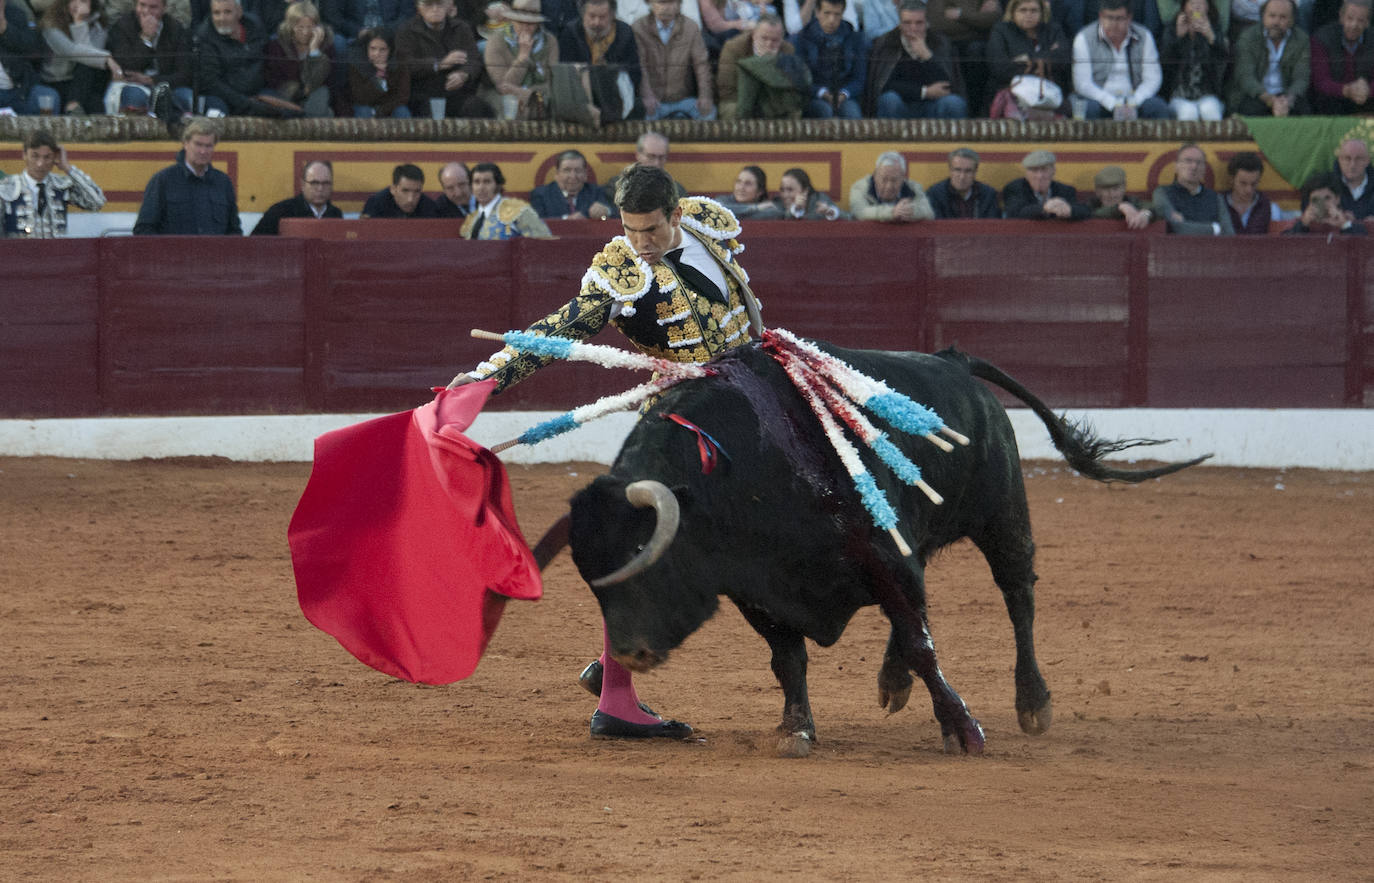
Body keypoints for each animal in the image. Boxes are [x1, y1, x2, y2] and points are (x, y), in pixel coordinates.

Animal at [535, 341, 1203, 758]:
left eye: (649, 563)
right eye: (592, 581)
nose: (628, 652)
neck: (739, 468)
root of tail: (953, 360)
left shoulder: (882, 553)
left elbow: (923, 642)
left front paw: (963, 730)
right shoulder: (755, 587)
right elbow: (790, 658)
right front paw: (795, 729)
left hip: (1002, 516)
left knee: (1017, 597)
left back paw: (1032, 701)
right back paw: (893, 681)